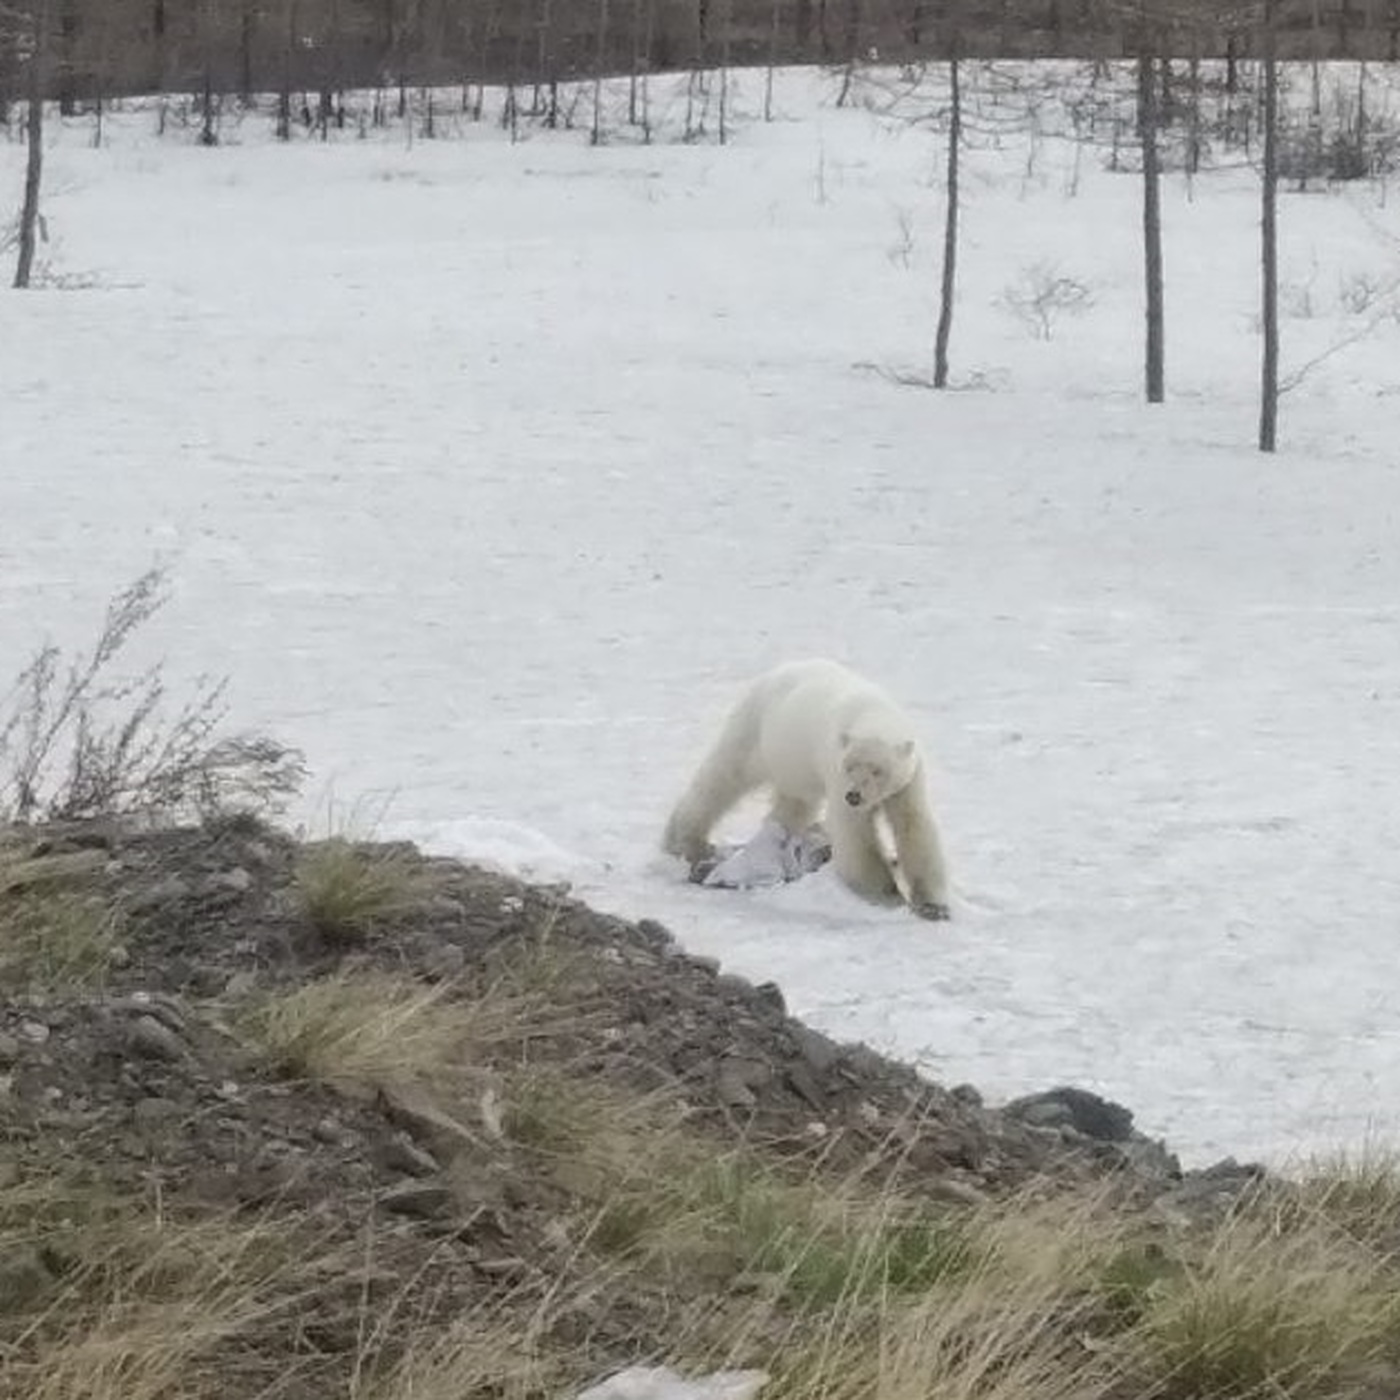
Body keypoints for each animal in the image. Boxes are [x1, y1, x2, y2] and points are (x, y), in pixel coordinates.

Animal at [663, 663, 952, 924]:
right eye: (850, 766)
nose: (854, 796)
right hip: (755, 730)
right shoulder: (835, 771)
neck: (874, 713)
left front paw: (932, 905)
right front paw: (888, 893)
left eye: (877, 770)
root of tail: (772, 673)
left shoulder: (909, 780)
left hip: (792, 763)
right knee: (722, 777)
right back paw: (684, 841)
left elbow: (914, 826)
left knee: (794, 804)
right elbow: (855, 836)